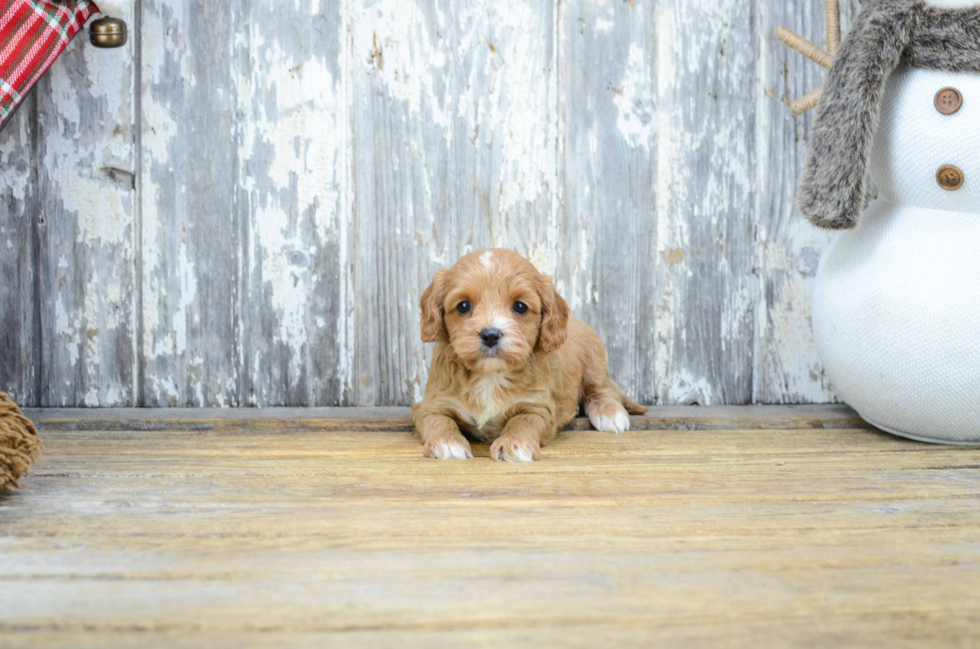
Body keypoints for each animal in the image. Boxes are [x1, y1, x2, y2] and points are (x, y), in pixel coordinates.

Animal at [410, 247, 648, 460]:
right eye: (463, 306)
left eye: (520, 307)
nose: (490, 335)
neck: (490, 375)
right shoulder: (431, 404)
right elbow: (439, 420)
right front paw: (447, 442)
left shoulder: (538, 406)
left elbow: (522, 421)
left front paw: (515, 444)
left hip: (594, 362)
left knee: (605, 389)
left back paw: (609, 413)